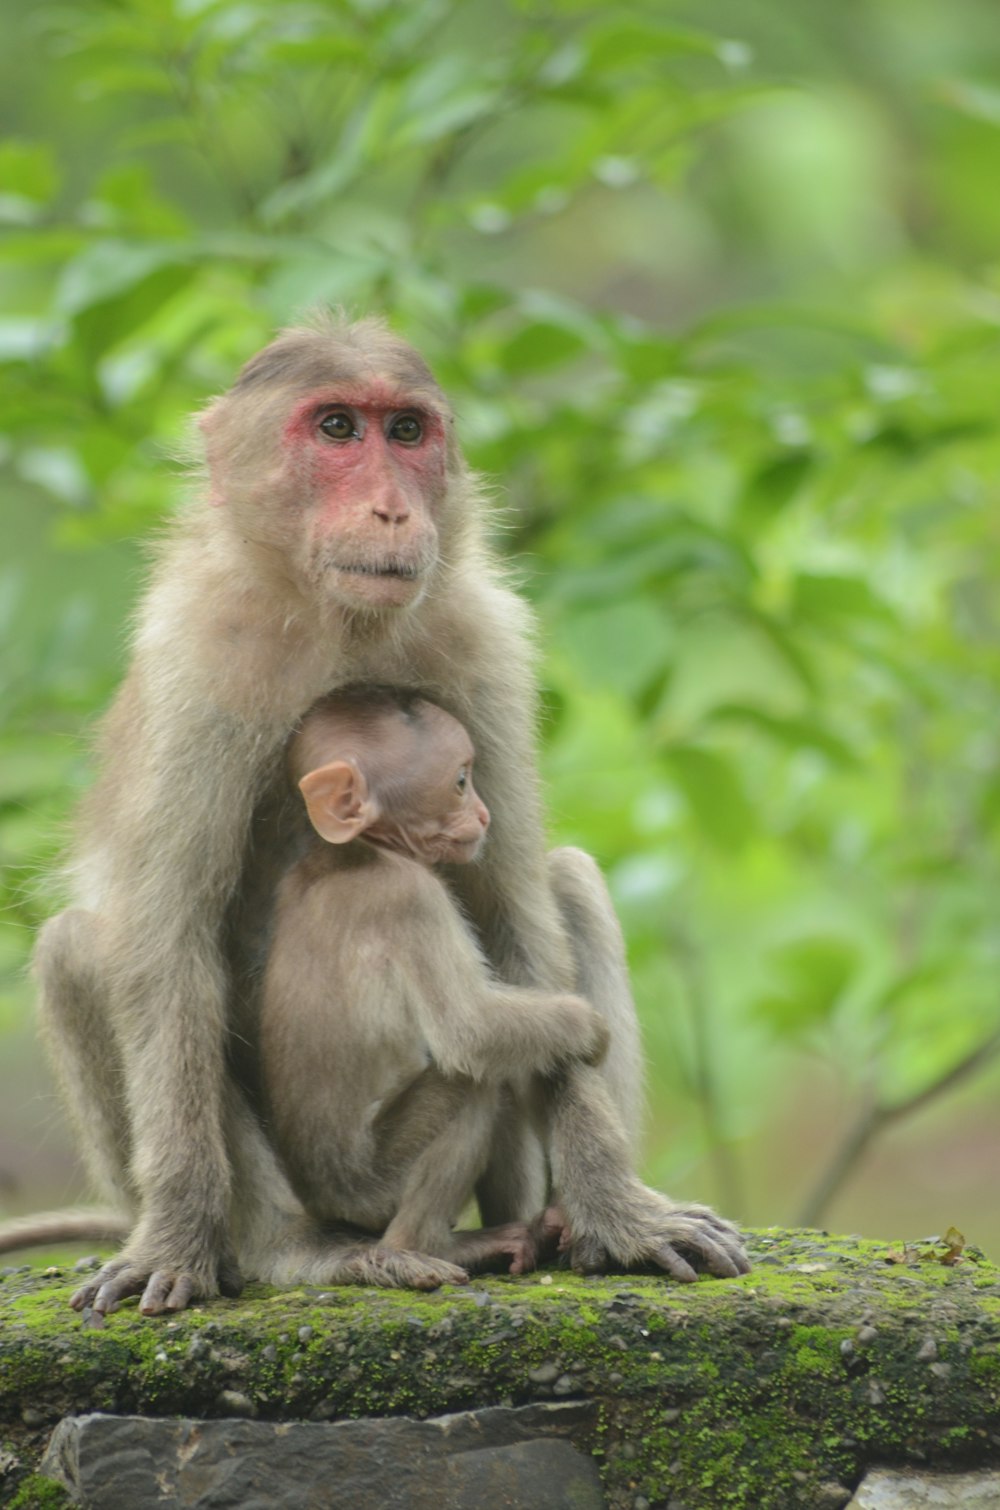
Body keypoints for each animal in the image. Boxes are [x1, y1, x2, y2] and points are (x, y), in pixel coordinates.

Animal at [259, 688, 610, 1286]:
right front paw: (590, 1027)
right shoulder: (410, 897)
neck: (352, 851)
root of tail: (324, 1201)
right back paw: (424, 1248)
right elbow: (471, 1030)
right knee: (472, 1082)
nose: (484, 813)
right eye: (462, 781)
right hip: (372, 1187)